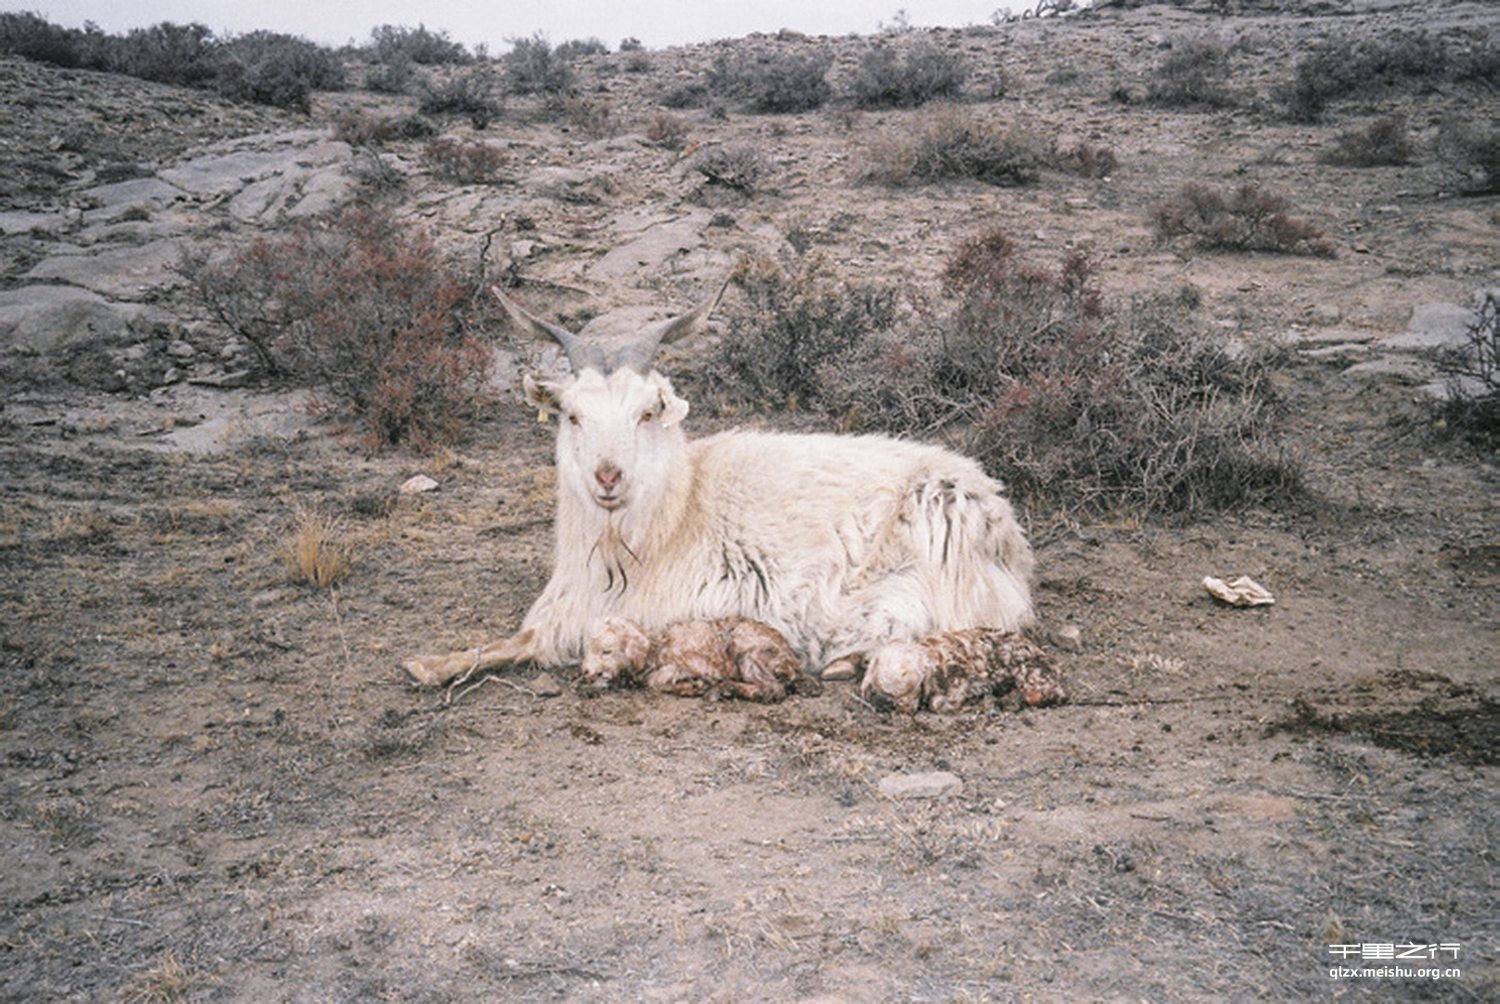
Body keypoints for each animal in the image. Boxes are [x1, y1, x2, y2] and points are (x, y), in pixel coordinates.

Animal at [405, 282, 1038, 690]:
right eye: (573, 416)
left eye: (647, 412)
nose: (608, 477)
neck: (678, 510)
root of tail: (1006, 529)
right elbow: (518, 639)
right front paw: (429, 664)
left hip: (928, 568)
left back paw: (848, 662)